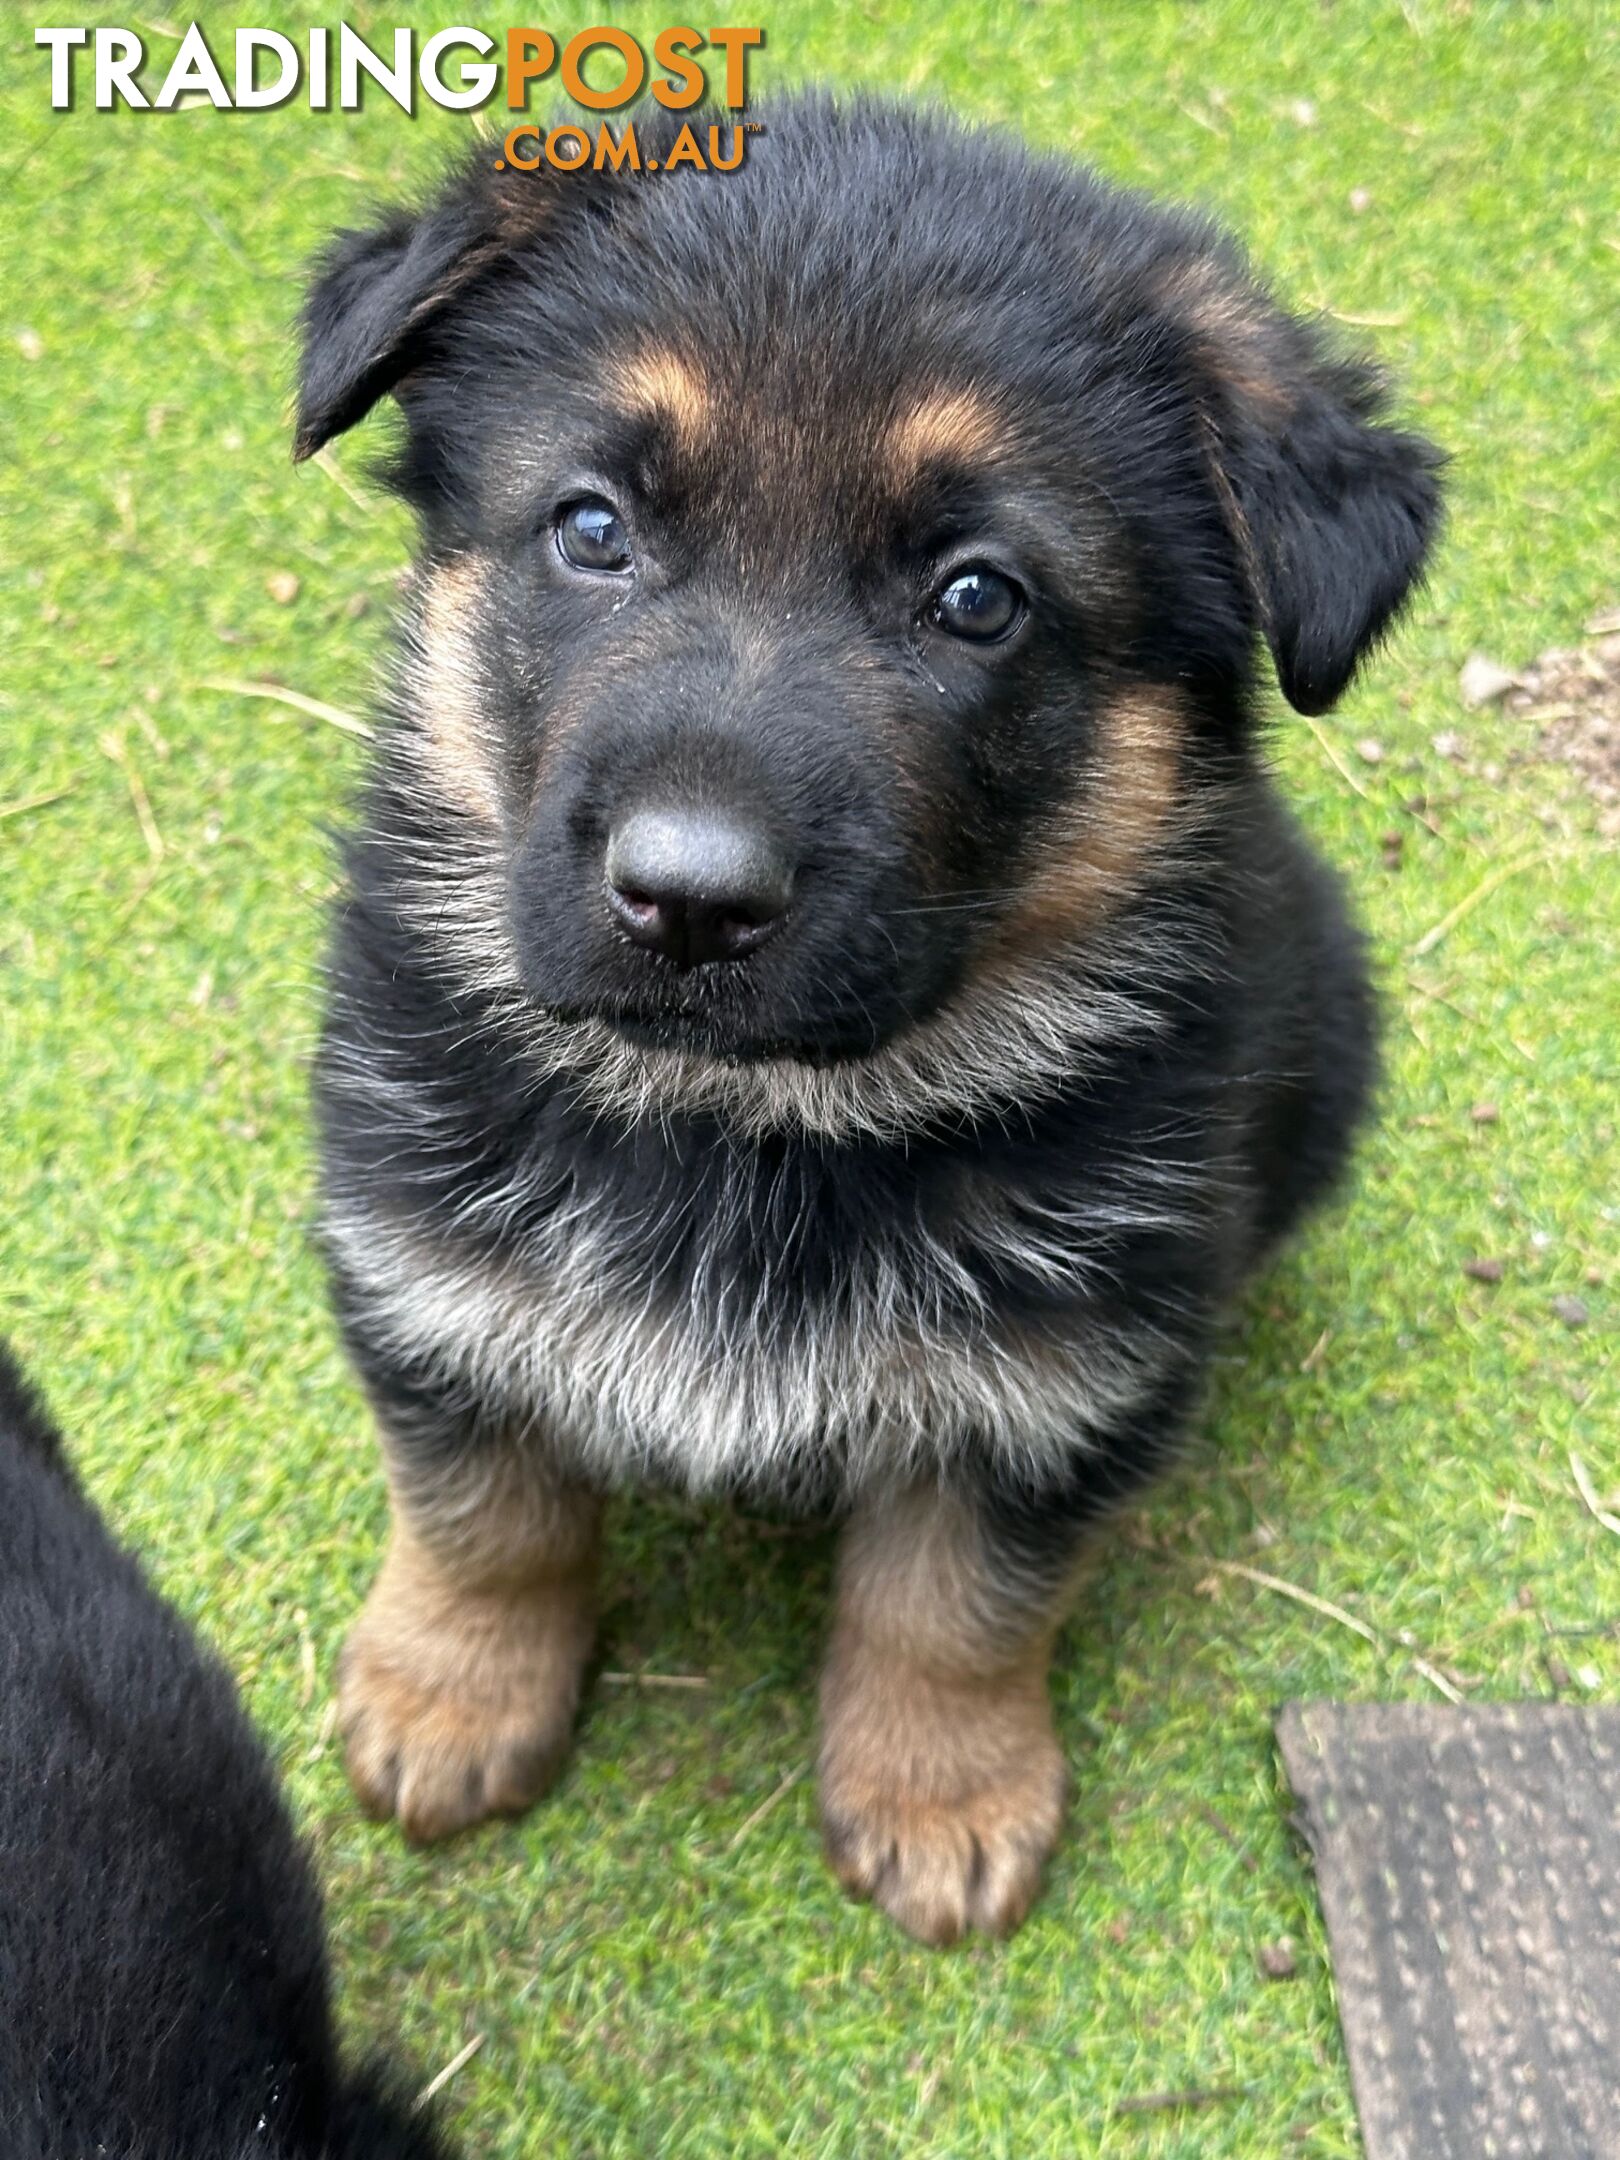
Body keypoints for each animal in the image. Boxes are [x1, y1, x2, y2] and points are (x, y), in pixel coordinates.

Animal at [295, 92, 1442, 1952]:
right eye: (592, 529)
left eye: (978, 597)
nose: (688, 901)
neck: (745, 1127)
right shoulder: (424, 1274)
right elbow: (480, 1515)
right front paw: (450, 1692)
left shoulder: (1054, 1383)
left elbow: (957, 1604)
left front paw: (941, 1791)